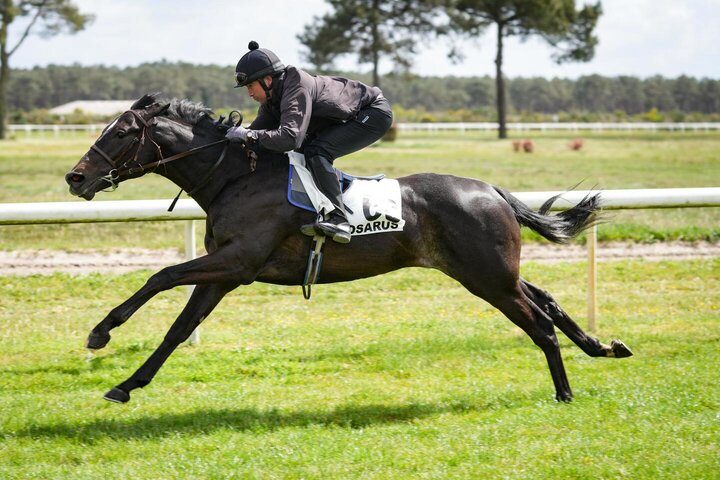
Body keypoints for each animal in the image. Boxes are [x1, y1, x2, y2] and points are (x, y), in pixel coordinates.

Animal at [65, 93, 632, 404]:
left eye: (120, 133)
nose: (75, 177)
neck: (236, 177)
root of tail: (492, 190)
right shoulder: (224, 273)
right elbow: (179, 329)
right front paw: (126, 384)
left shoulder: (237, 262)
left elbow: (159, 275)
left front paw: (100, 331)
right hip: (488, 271)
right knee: (545, 299)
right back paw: (602, 346)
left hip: (487, 277)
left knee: (539, 323)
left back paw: (565, 391)